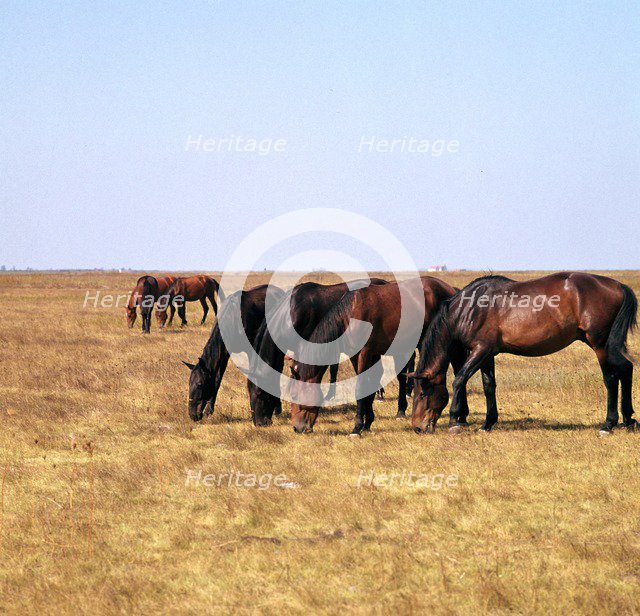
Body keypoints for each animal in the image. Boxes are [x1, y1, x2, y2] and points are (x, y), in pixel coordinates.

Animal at [182, 284, 284, 421]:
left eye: (199, 384)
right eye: (189, 383)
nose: (193, 415)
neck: (233, 318)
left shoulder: (251, 350)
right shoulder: (224, 354)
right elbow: (217, 379)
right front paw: (209, 409)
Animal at [290, 276, 465, 435]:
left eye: (294, 395)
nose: (297, 428)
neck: (350, 315)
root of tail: (451, 290)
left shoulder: (365, 353)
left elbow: (361, 387)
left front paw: (357, 427)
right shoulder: (359, 356)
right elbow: (369, 385)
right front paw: (367, 422)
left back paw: (459, 418)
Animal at [409, 273, 637, 435]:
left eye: (422, 393)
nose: (418, 427)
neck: (470, 307)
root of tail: (618, 286)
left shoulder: (480, 350)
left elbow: (459, 380)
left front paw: (454, 421)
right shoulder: (488, 354)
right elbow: (488, 386)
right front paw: (487, 423)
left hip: (600, 345)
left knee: (611, 378)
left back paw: (608, 424)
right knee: (626, 368)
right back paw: (628, 420)